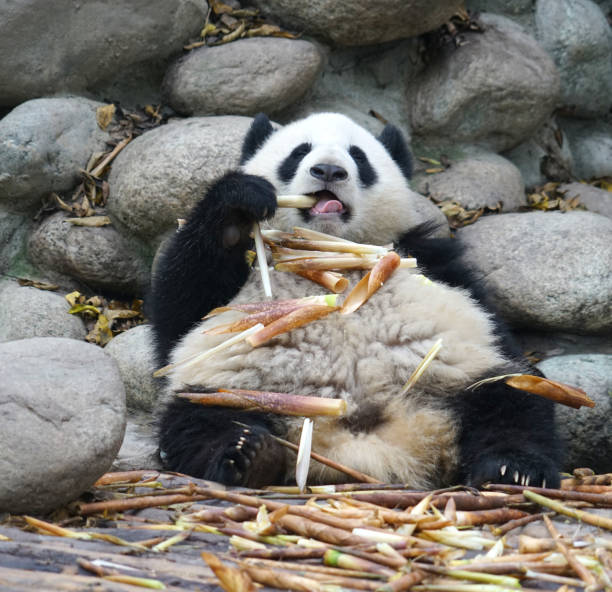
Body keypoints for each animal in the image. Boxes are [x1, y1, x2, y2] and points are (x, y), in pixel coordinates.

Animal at [147, 112, 560, 490]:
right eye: (300, 152)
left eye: (358, 157)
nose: (329, 170)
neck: (326, 249)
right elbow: (181, 309)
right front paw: (236, 210)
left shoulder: (427, 258)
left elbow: (492, 325)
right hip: (240, 390)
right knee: (197, 419)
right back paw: (247, 453)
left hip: (457, 382)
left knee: (512, 401)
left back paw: (511, 469)